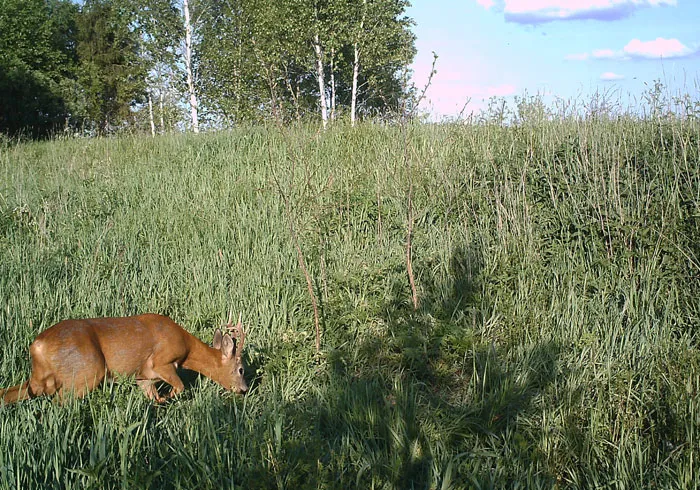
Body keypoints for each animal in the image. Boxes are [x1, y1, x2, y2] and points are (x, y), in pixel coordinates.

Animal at [0, 312, 247, 404]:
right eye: (241, 369)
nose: (244, 389)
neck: (186, 347)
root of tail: (37, 346)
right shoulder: (161, 361)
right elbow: (179, 387)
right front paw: (169, 398)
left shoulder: (143, 377)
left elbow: (153, 398)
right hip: (86, 374)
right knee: (59, 403)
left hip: (39, 380)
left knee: (9, 394)